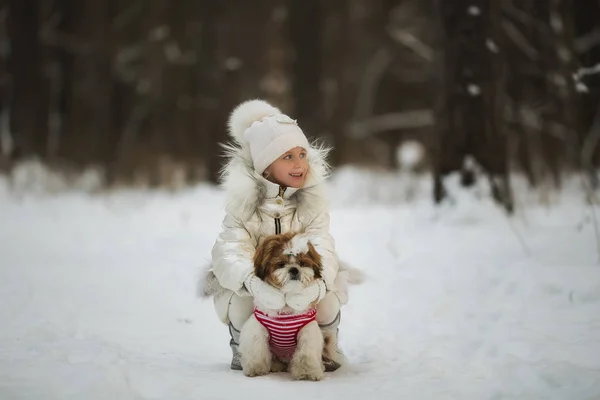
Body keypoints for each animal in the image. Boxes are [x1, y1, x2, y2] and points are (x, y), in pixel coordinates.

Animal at [199, 231, 364, 382]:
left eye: (302, 263)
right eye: (281, 264)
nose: (294, 269)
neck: (285, 310)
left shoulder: (308, 332)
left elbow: (306, 353)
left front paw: (307, 372)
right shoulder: (257, 329)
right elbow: (257, 349)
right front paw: (256, 369)